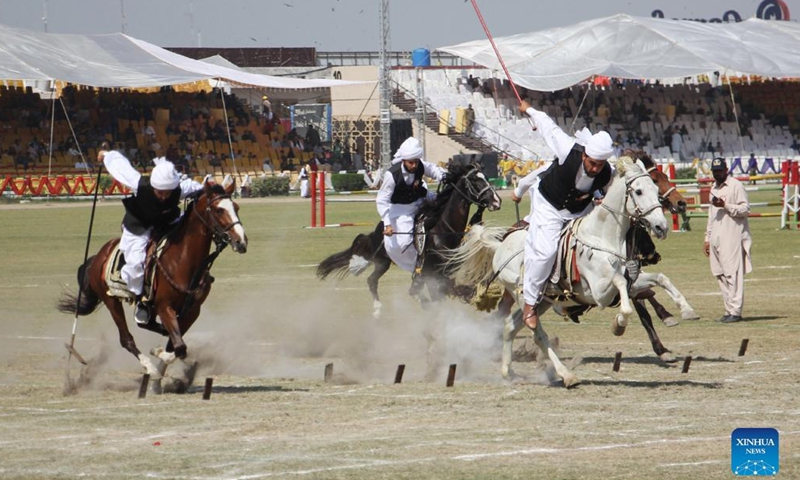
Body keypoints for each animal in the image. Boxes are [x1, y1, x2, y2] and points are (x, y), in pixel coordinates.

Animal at [58, 182, 247, 380]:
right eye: (219, 210)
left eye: (236, 207)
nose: (241, 241)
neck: (183, 261)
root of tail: (97, 257)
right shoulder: (165, 306)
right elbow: (178, 348)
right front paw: (157, 357)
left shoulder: (193, 310)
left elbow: (175, 345)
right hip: (111, 301)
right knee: (126, 339)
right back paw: (150, 368)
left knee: (147, 325)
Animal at [450, 158, 668, 386]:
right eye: (639, 191)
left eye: (656, 190)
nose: (661, 227)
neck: (601, 237)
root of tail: (500, 245)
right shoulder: (598, 293)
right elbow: (620, 286)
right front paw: (619, 325)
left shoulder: (628, 283)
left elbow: (657, 280)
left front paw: (677, 310)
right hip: (524, 296)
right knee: (536, 333)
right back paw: (566, 375)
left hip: (543, 301)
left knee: (510, 325)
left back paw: (509, 372)